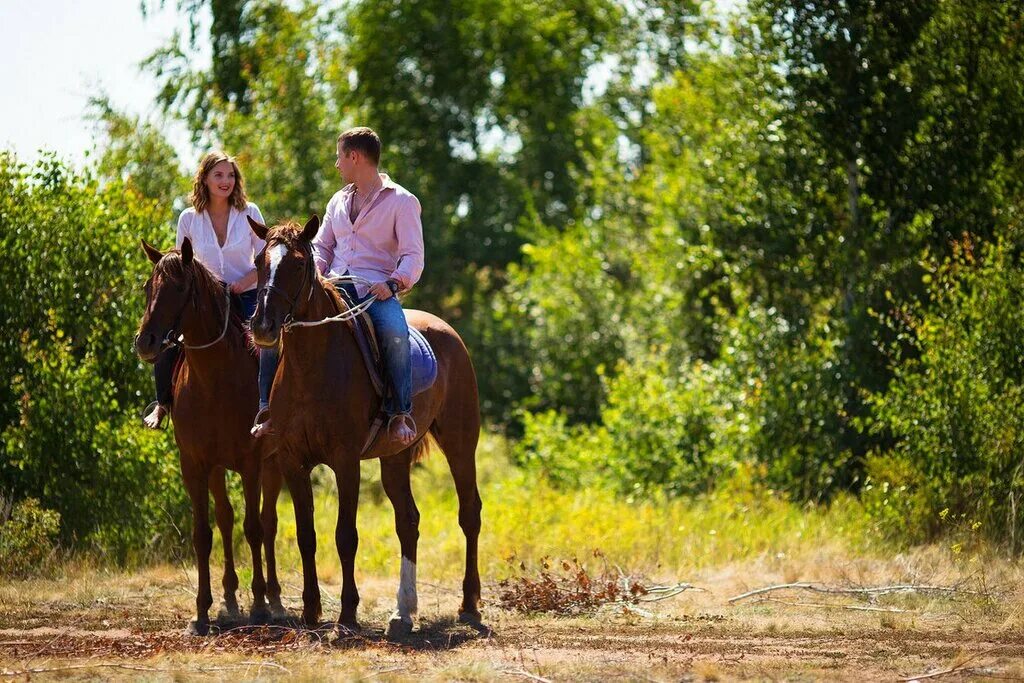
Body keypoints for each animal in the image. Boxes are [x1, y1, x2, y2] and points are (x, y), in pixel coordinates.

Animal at [134, 237, 287, 635]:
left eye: (178, 288)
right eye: (147, 287)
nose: (145, 342)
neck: (215, 376)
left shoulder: (251, 463)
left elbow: (254, 528)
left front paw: (260, 605)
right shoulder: (194, 464)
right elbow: (203, 533)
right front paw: (201, 611)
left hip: (274, 464)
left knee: (267, 523)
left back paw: (275, 600)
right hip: (218, 468)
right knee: (226, 518)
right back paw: (230, 599)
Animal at [246, 215, 483, 636]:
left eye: (297, 264)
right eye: (259, 261)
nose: (263, 326)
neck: (312, 367)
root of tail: (447, 331)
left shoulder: (345, 461)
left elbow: (345, 536)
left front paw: (347, 615)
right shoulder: (291, 460)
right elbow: (306, 536)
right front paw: (311, 611)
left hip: (460, 443)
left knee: (469, 512)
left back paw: (469, 605)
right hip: (395, 457)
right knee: (408, 521)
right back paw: (403, 612)